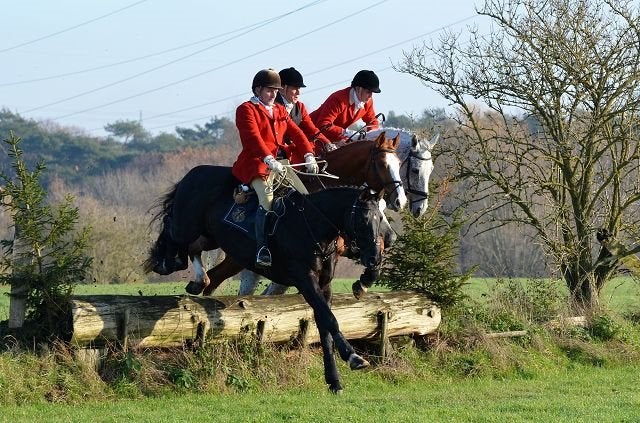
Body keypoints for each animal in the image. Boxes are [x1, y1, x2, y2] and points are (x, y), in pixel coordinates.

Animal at [144, 170, 384, 394]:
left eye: (380, 219)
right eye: (364, 219)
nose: (375, 258)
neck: (312, 226)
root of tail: (193, 173)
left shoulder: (324, 286)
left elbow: (325, 326)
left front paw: (334, 380)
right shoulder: (305, 279)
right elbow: (330, 319)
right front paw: (353, 357)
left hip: (210, 235)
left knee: (195, 251)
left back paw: (199, 280)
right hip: (186, 227)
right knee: (172, 231)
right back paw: (167, 262)